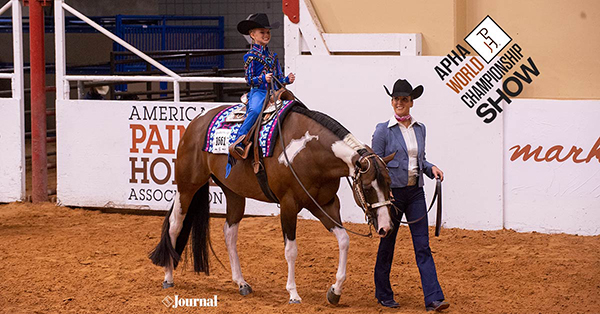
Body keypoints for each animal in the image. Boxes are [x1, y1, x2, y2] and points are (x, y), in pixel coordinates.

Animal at [148, 102, 396, 306]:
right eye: (367, 187)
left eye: (389, 183)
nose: (386, 227)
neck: (309, 152)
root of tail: (195, 124)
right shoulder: (288, 205)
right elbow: (291, 250)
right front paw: (293, 293)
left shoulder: (324, 204)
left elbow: (344, 240)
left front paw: (335, 291)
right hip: (187, 186)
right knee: (175, 224)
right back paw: (168, 277)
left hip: (234, 192)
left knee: (229, 232)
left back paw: (241, 282)